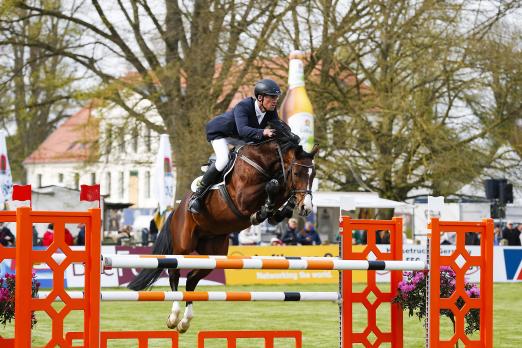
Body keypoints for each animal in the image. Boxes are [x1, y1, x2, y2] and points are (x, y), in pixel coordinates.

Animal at [129, 123, 316, 334]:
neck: (264, 163)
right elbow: (273, 186)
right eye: (297, 173)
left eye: (313, 175)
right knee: (174, 273)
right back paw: (174, 317)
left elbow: (279, 195)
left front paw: (281, 208)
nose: (306, 208)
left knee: (192, 279)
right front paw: (263, 210)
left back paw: (185, 322)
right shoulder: (243, 197)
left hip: (213, 252)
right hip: (183, 245)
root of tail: (175, 210)